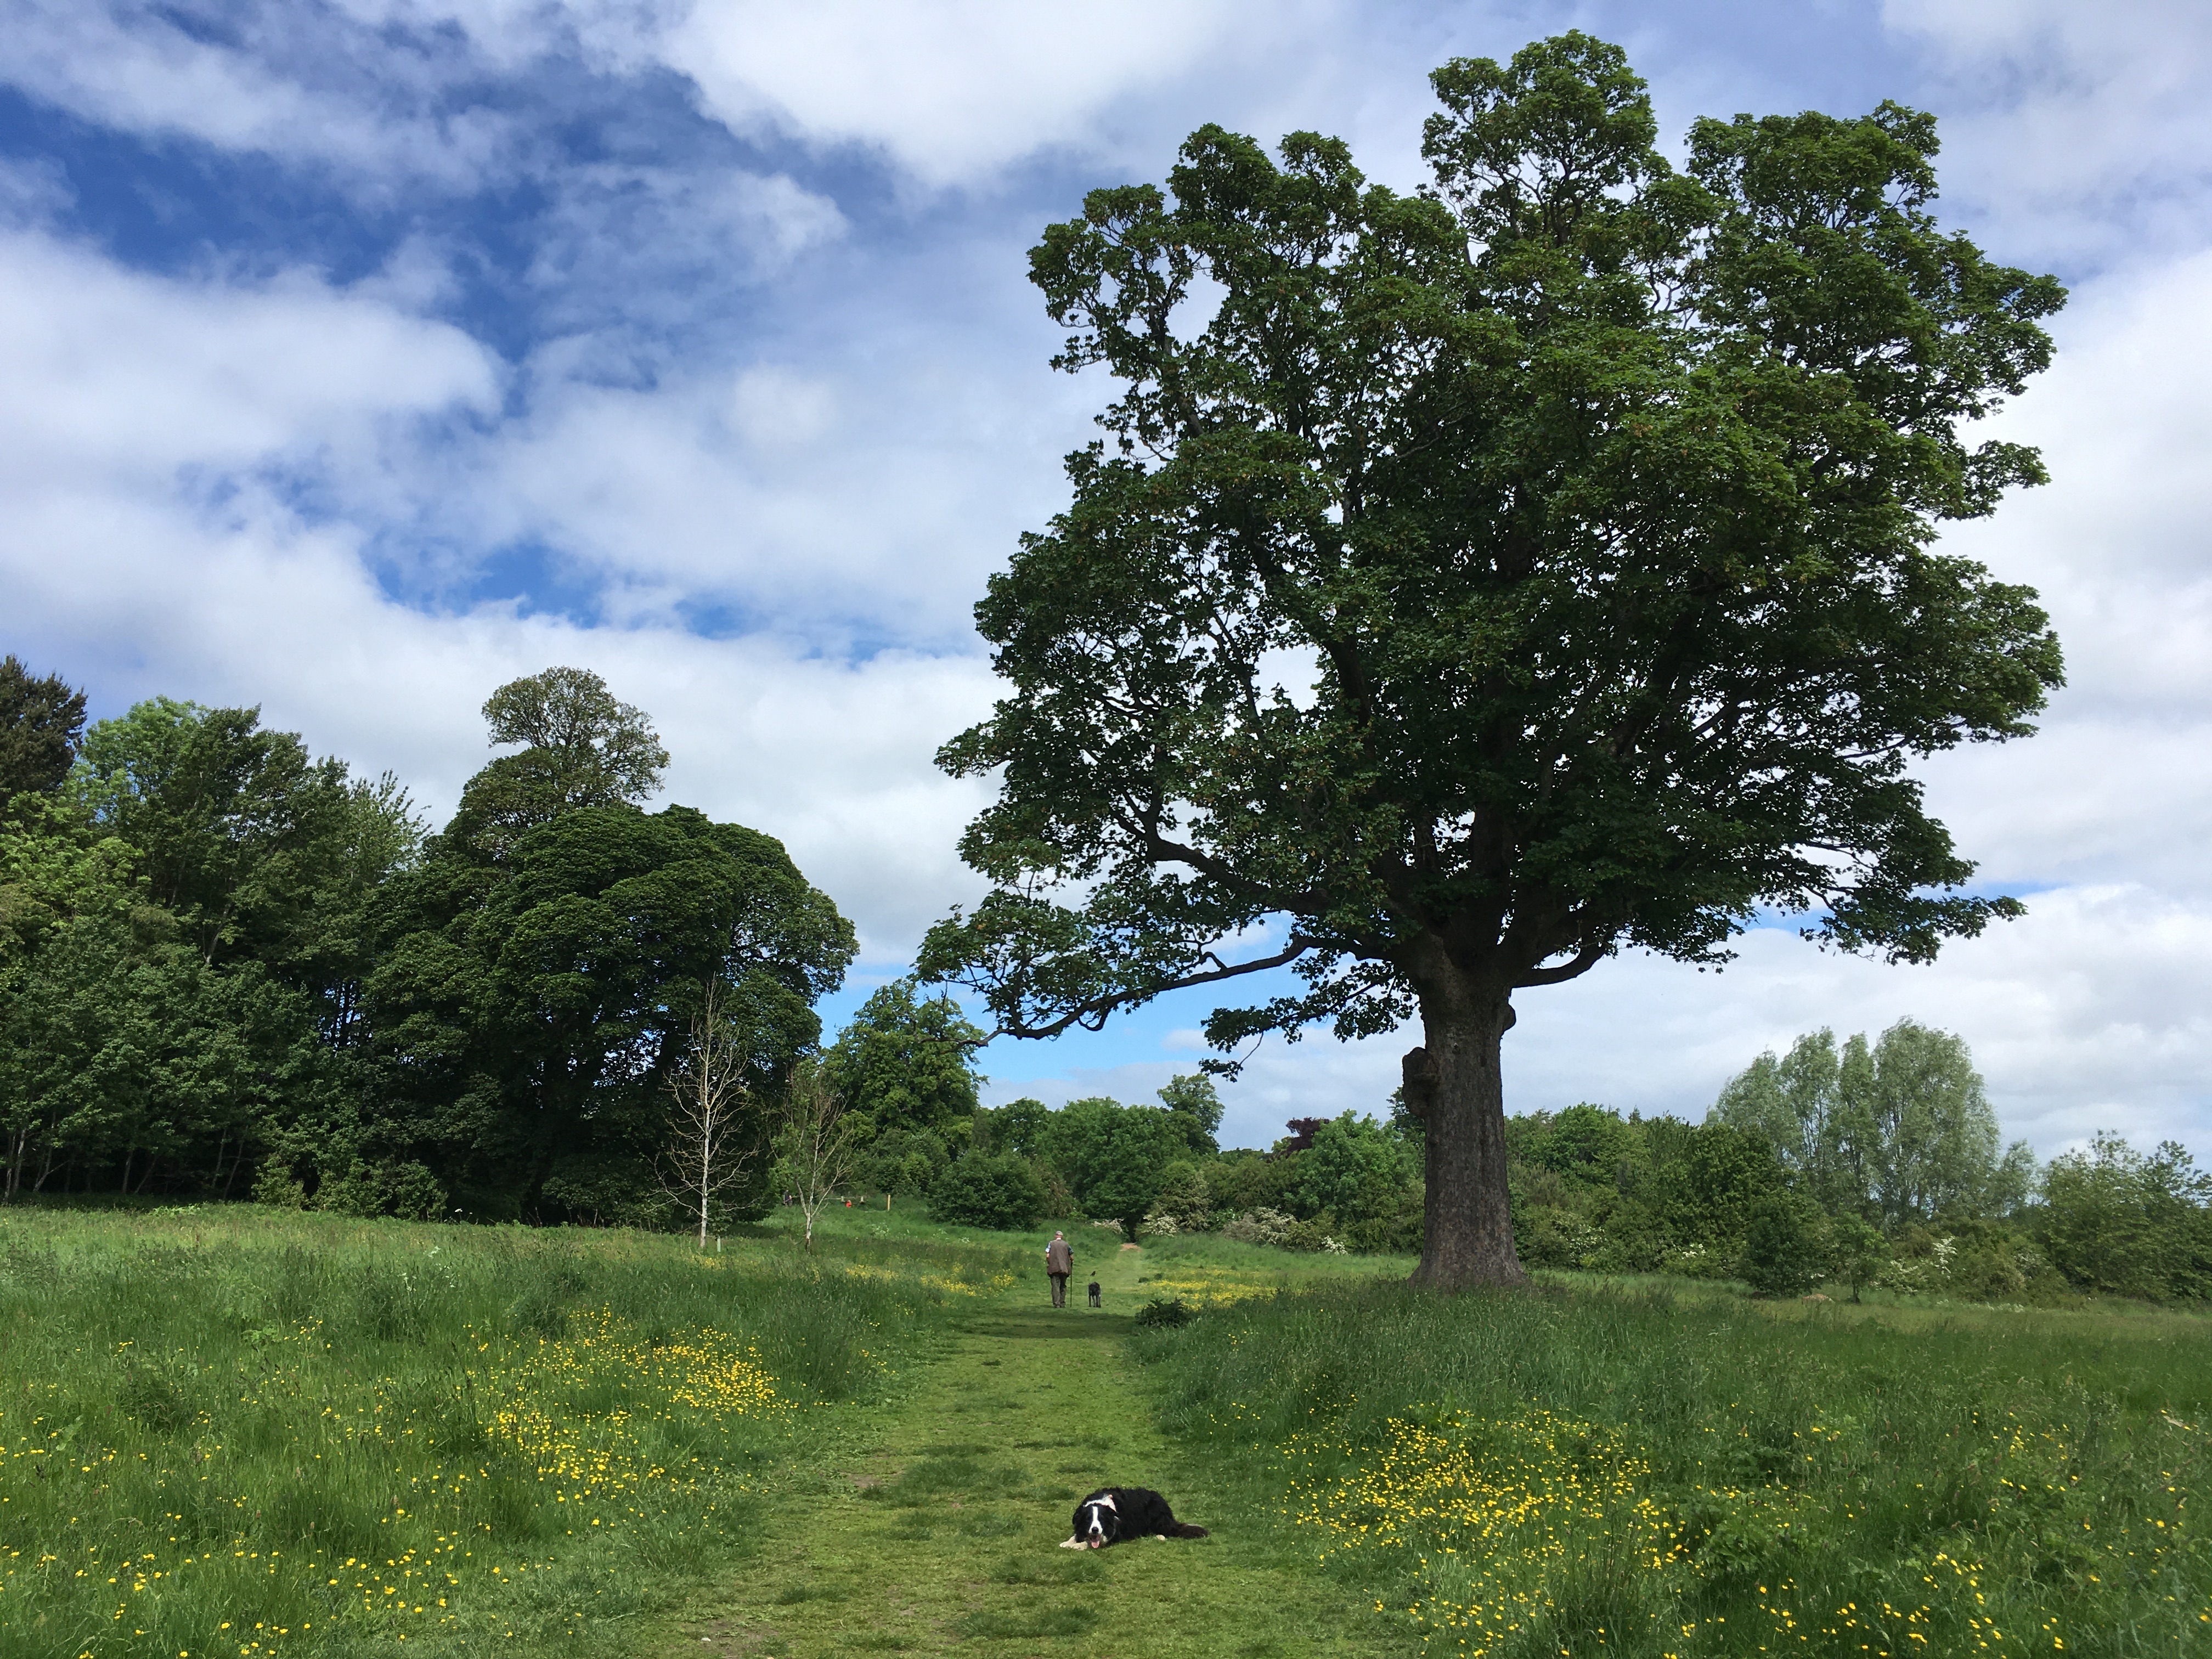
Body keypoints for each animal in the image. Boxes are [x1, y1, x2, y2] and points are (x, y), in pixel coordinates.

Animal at [1057, 1486, 1212, 1557]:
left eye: (1101, 1519)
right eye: (1088, 1519)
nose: (1095, 1530)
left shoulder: (1114, 1535)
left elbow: (1089, 1543)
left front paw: (1077, 1546)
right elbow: (1076, 1537)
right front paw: (1068, 1543)